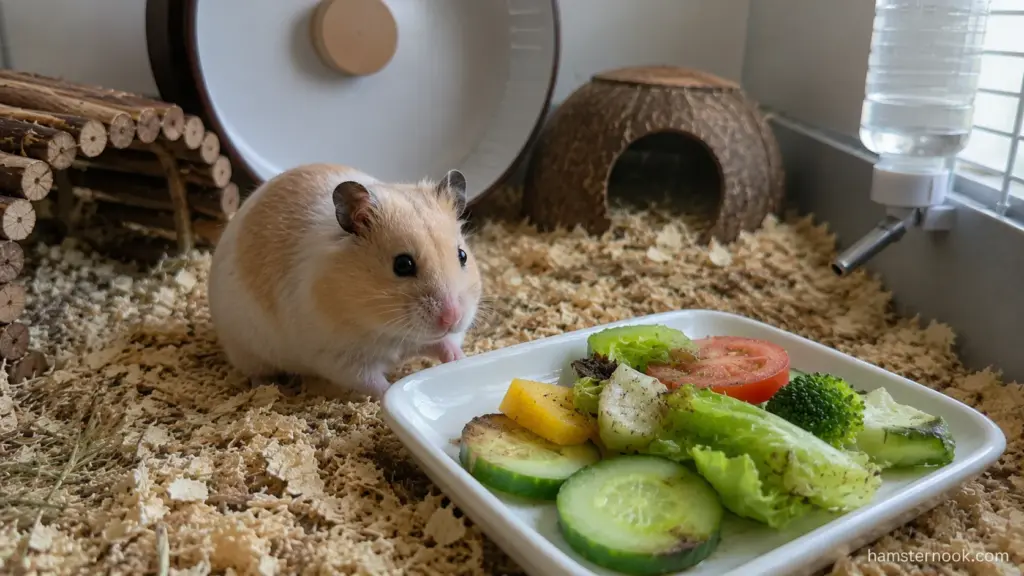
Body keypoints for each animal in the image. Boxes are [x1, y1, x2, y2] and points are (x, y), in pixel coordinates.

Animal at [208, 163, 483, 398]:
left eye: (462, 255)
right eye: (403, 265)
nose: (453, 318)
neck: (389, 330)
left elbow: (444, 344)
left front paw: (460, 359)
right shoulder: (338, 357)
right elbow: (375, 383)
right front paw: (388, 394)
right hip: (245, 350)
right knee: (257, 373)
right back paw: (272, 389)